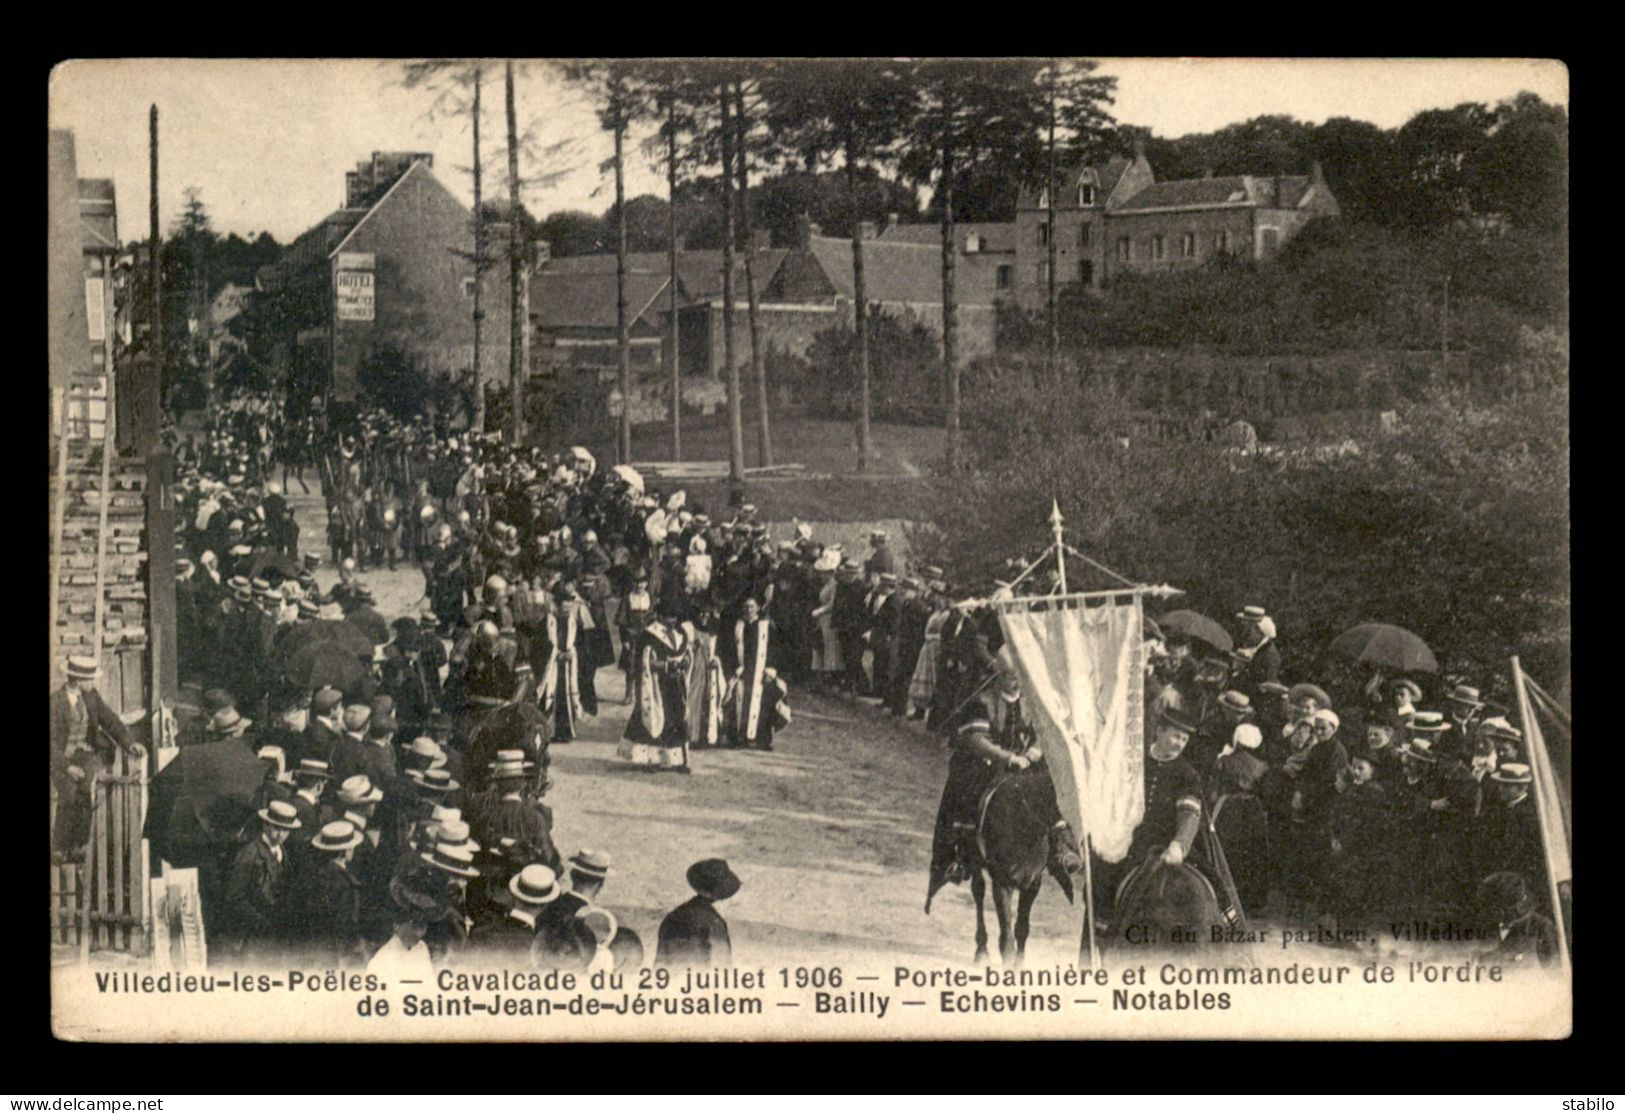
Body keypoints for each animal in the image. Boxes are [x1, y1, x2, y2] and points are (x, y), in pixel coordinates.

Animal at [968, 766, 1072, 968]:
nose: (1062, 830)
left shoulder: (1032, 883)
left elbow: (1022, 927)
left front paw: (1019, 964)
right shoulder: (1002, 883)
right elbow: (1006, 929)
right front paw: (1008, 961)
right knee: (978, 892)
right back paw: (981, 950)